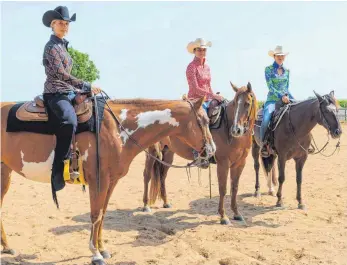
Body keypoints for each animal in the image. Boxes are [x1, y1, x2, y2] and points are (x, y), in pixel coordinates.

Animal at [0, 97, 218, 264]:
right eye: (203, 121)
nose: (212, 151)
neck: (117, 129)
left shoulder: (111, 182)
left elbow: (103, 214)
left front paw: (102, 249)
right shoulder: (99, 181)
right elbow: (95, 215)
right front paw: (95, 253)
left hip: (5, 173)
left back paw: (8, 247)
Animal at [143, 81, 260, 224]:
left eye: (247, 103)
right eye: (235, 103)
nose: (236, 130)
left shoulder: (239, 163)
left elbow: (234, 188)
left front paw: (236, 213)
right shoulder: (223, 163)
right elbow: (223, 189)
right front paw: (223, 216)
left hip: (168, 153)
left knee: (162, 176)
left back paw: (166, 202)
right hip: (152, 152)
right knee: (147, 175)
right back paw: (146, 205)